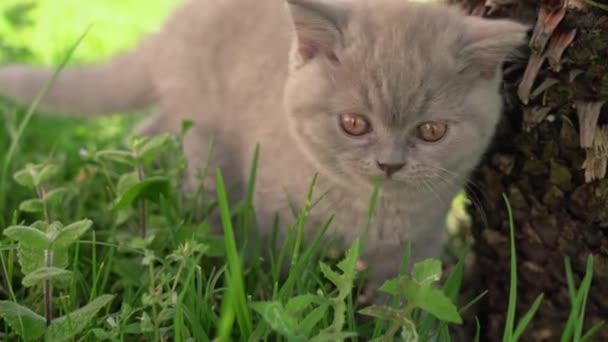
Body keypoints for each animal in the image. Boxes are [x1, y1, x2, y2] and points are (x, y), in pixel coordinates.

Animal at [0, 0, 528, 288]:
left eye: (431, 131)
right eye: (354, 123)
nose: (390, 164)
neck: (371, 207)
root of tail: (171, 26)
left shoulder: (416, 247)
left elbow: (402, 300)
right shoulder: (274, 219)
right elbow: (278, 272)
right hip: (200, 129)